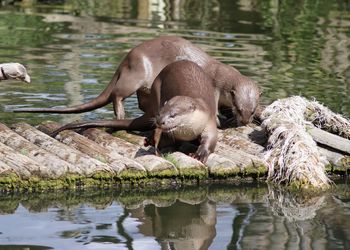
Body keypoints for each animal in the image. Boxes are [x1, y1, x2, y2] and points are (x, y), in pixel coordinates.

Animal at [13, 35, 260, 125]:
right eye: (239, 107)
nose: (245, 121)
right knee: (117, 95)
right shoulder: (213, 88)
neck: (222, 76)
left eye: (253, 108)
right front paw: (220, 118)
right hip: (137, 74)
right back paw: (121, 114)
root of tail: (125, 60)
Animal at [51, 60, 217, 162]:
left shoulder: (209, 119)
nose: (160, 121)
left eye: (173, 115)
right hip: (157, 87)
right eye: (161, 113)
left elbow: (211, 139)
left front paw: (200, 154)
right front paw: (153, 142)